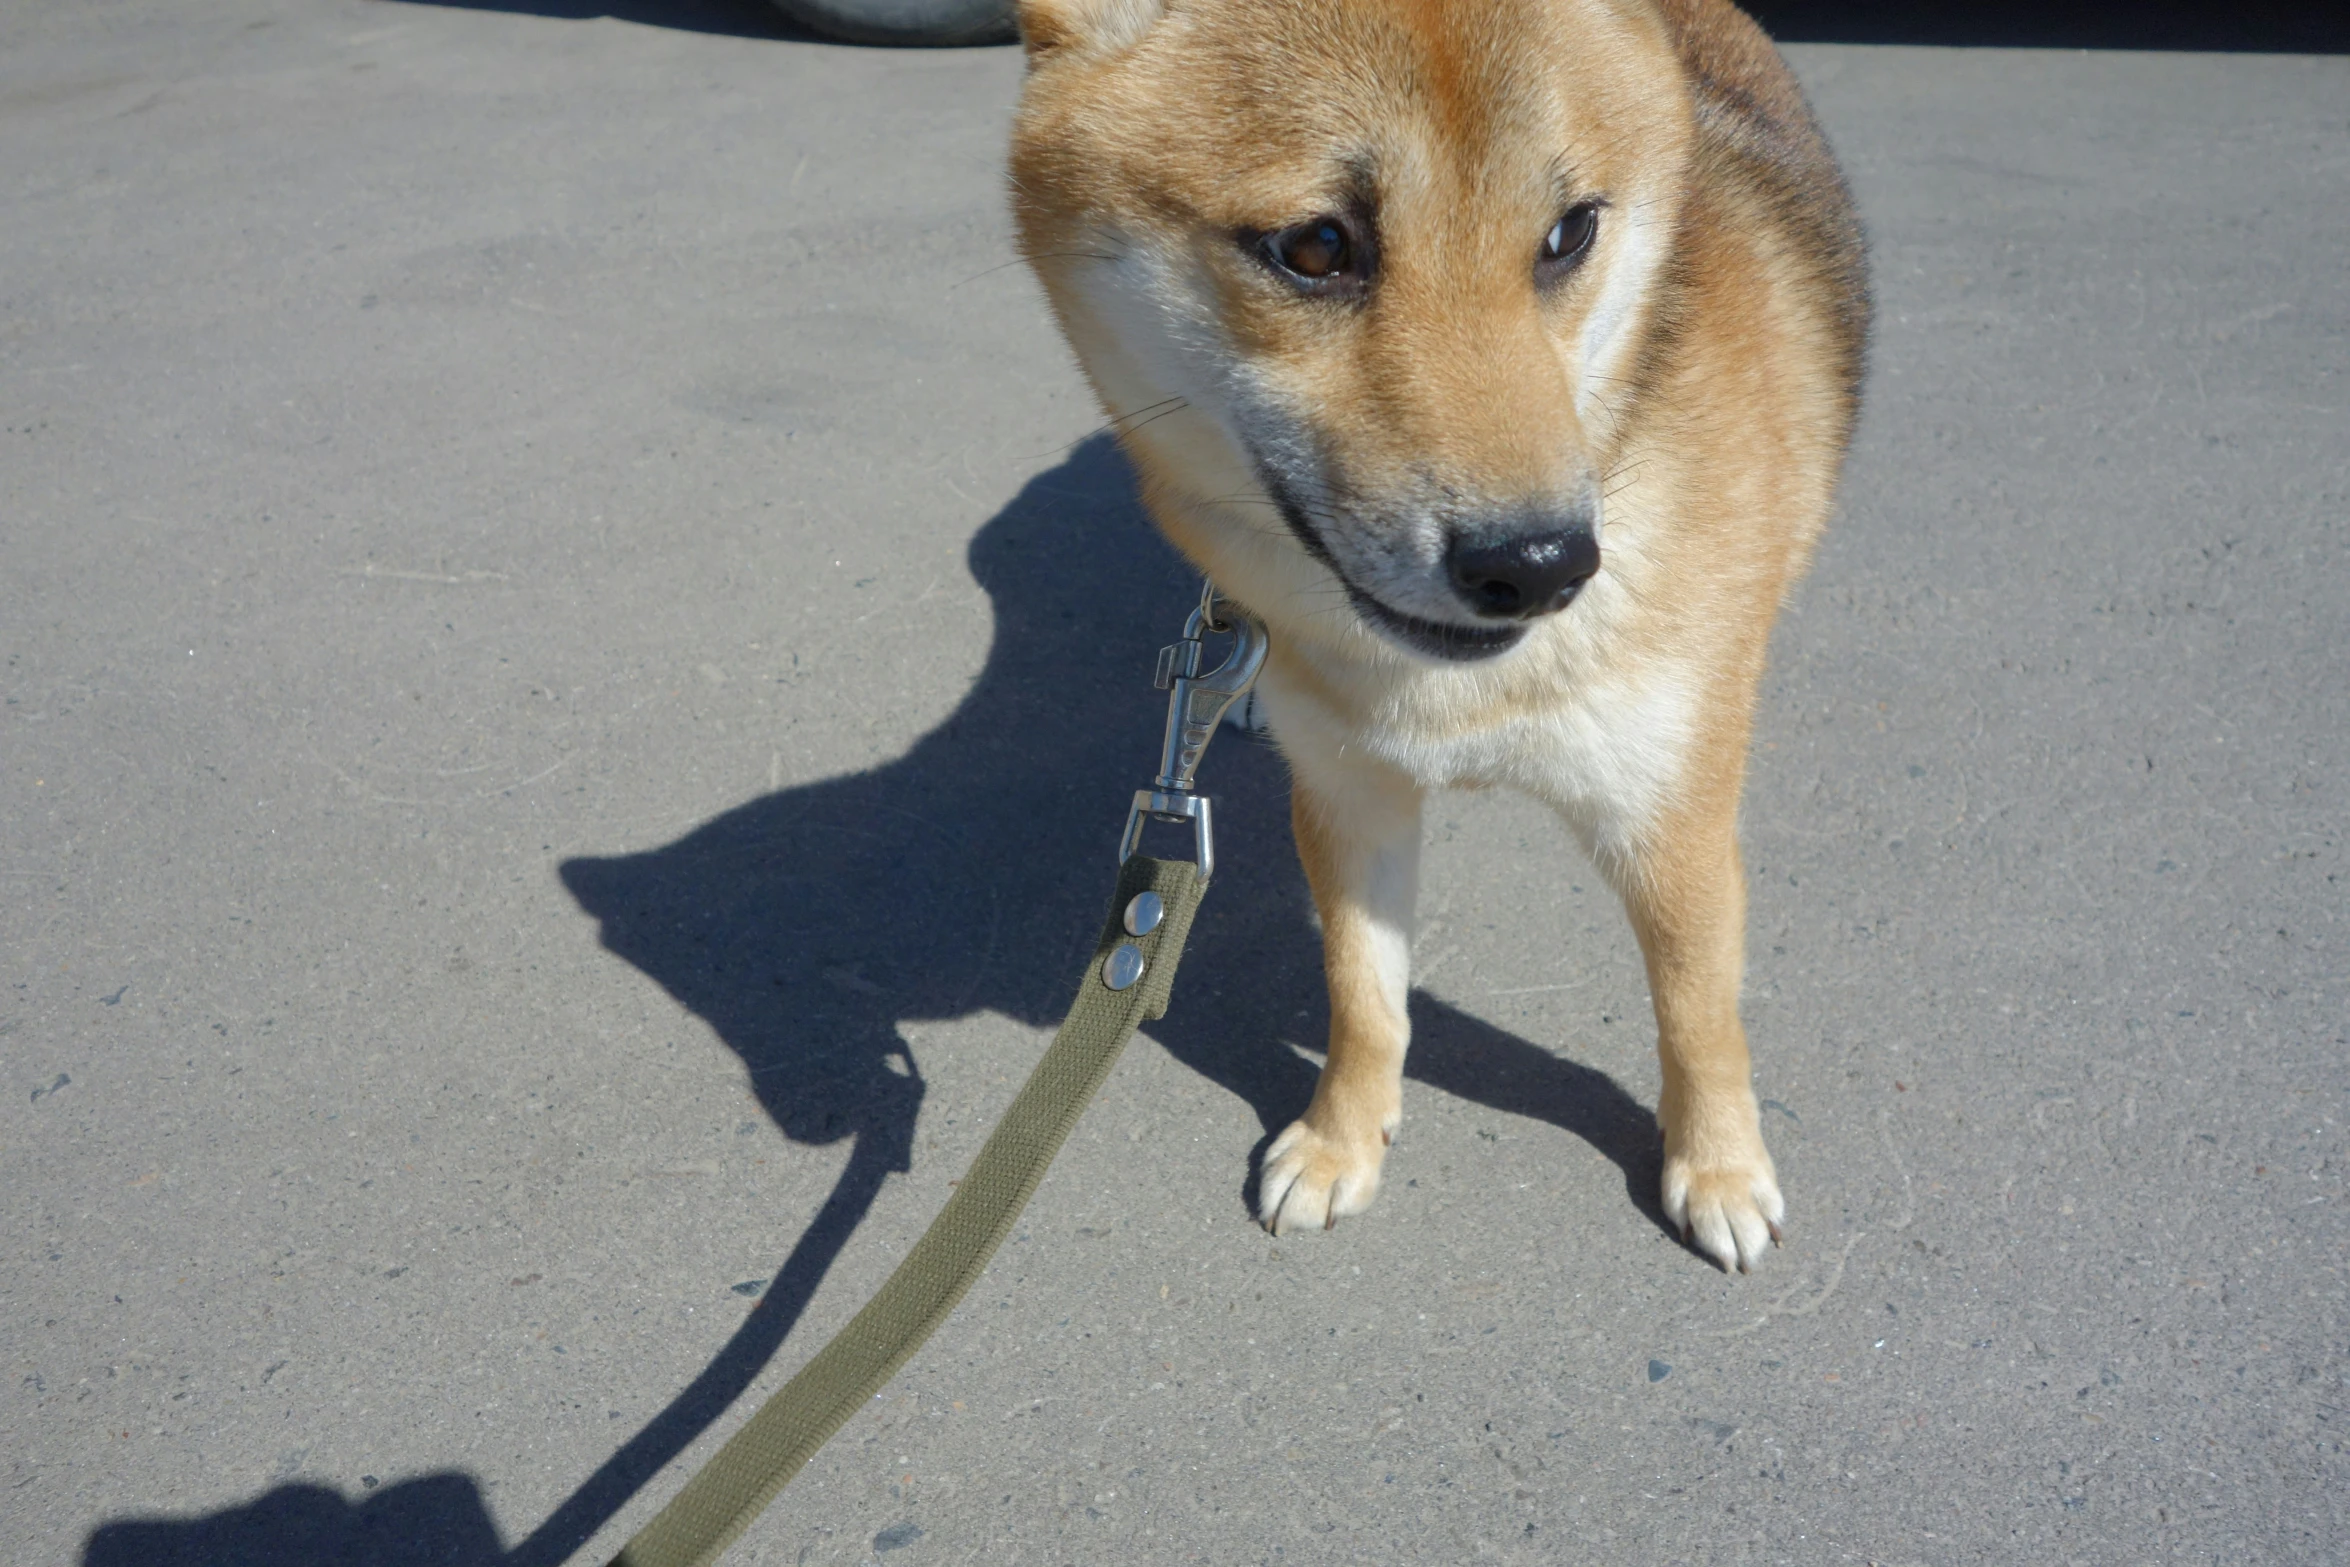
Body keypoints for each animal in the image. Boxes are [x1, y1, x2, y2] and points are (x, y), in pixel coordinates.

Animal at [1010, 0, 1870, 1278]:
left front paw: (1717, 1166)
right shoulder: (1350, 794)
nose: (1542, 564)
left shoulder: (1666, 817)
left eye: (1568, 234)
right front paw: (1339, 1141)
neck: (1454, 694)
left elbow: (1697, 1012)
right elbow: (1364, 998)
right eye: (1315, 247)